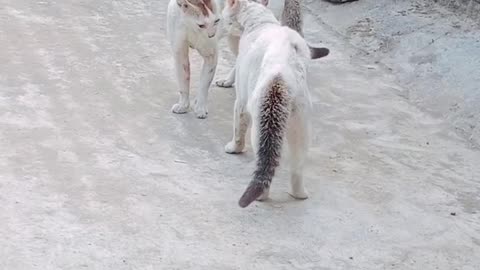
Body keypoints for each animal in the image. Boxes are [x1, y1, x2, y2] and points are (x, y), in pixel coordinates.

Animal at [222, 0, 328, 208]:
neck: (260, 22)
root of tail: (282, 77)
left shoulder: (242, 99)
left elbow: (238, 126)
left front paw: (234, 147)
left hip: (261, 118)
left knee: (263, 154)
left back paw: (262, 195)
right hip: (301, 123)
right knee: (297, 163)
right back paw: (299, 193)